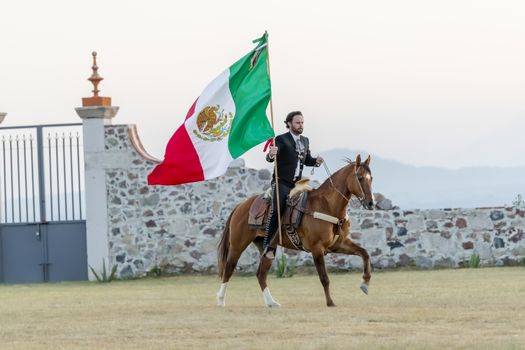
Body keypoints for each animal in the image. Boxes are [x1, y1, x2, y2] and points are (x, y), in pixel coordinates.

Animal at [216, 155, 372, 306]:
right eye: (360, 177)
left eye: (371, 178)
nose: (370, 203)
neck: (326, 206)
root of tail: (241, 205)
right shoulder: (317, 248)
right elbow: (324, 277)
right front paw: (330, 302)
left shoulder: (339, 244)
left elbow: (364, 253)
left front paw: (365, 284)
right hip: (237, 245)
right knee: (228, 269)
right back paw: (221, 300)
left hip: (267, 248)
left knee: (261, 274)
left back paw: (271, 302)